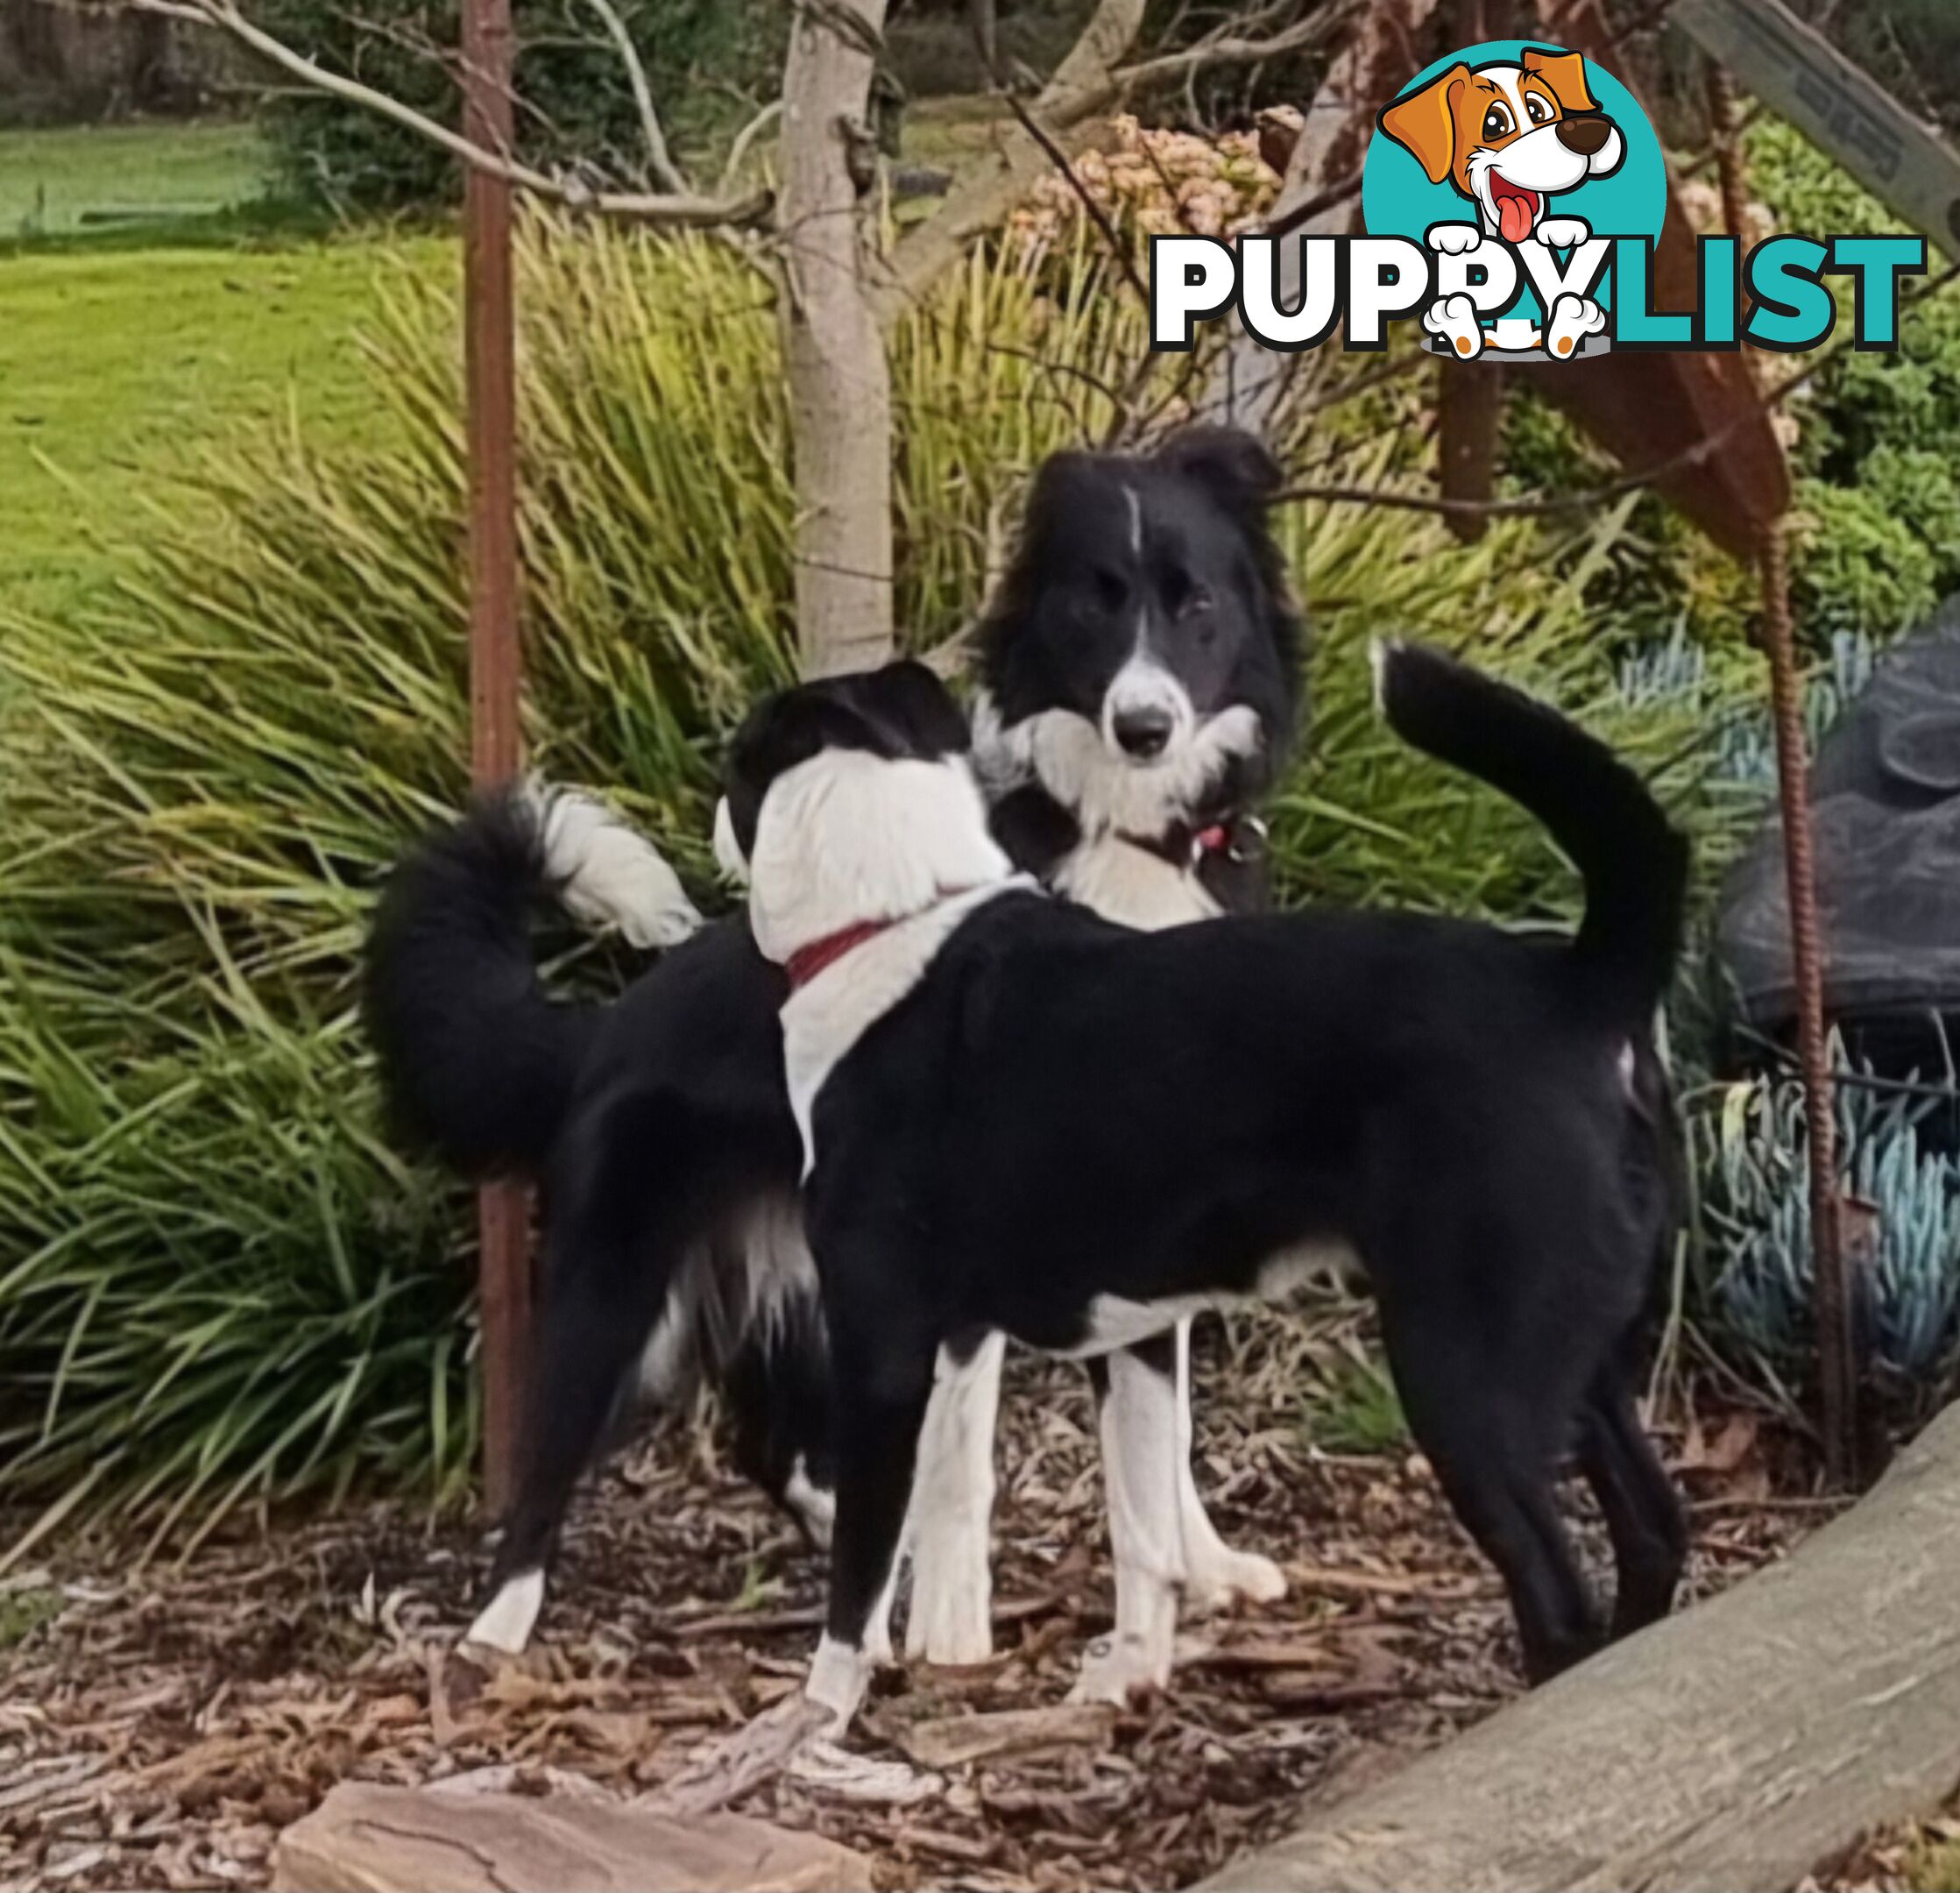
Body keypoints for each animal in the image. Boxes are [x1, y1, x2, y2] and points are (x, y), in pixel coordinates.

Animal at [364, 425, 1317, 1677]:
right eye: (1092, 604)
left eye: (1193, 601)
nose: (1143, 725)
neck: (1114, 832)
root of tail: (604, 1026)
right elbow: (972, 1459)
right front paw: (956, 1636)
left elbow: (1155, 1434)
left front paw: (1190, 1574)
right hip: (620, 1293)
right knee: (553, 1468)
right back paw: (501, 1633)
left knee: (766, 1441)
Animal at [713, 646, 1693, 1732]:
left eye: (733, 765)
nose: (708, 819)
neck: (893, 923)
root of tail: (1579, 988)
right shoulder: (1136, 1336)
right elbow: (1143, 1519)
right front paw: (1131, 1672)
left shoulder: (883, 1354)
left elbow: (858, 1578)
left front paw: (814, 1717)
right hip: (1580, 1361)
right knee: (1653, 1533)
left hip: (1462, 1377)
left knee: (1556, 1597)